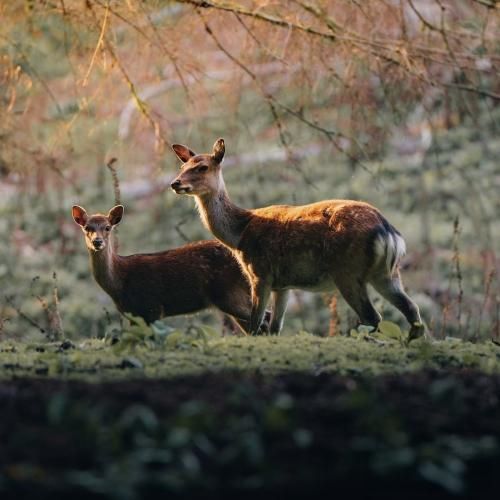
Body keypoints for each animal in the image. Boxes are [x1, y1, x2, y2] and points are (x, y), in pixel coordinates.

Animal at [70, 203, 270, 332]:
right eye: (87, 227)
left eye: (108, 227)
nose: (97, 242)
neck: (119, 283)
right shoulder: (134, 315)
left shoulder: (151, 307)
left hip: (228, 292)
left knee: (264, 318)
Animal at [170, 139, 424, 342]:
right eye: (182, 166)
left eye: (203, 167)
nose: (175, 183)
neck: (239, 234)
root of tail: (388, 231)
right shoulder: (283, 285)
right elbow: (275, 328)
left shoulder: (260, 274)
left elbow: (255, 325)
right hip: (386, 273)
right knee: (412, 309)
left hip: (347, 272)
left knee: (373, 317)